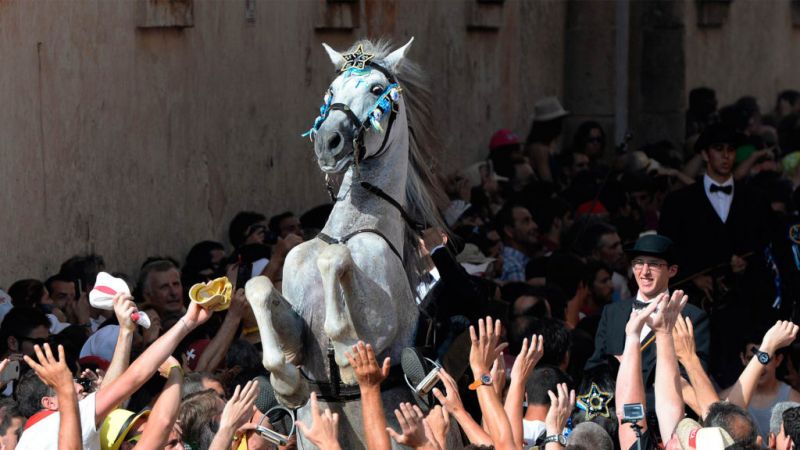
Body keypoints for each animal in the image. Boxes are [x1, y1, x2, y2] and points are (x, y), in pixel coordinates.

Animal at [245, 39, 450, 450]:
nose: (328, 142)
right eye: (331, 91)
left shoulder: (381, 323)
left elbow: (334, 261)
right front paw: (286, 384)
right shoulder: (299, 329)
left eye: (376, 89)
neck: (352, 228)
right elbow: (257, 286)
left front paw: (346, 357)